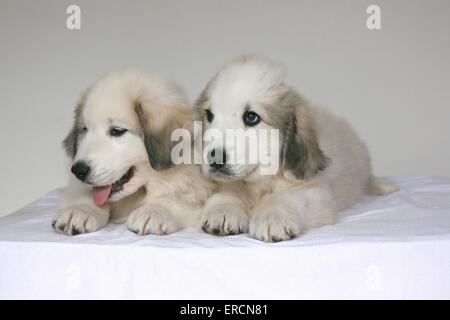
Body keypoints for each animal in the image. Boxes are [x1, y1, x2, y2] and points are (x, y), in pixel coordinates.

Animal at [54, 70, 213, 235]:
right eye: (85, 130)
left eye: (117, 131)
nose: (78, 170)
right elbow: (84, 193)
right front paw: (81, 210)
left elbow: (173, 198)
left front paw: (153, 210)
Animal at [195, 55, 396, 241]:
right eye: (210, 116)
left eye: (251, 117)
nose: (215, 158)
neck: (257, 186)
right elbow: (226, 190)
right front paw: (223, 211)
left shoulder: (315, 192)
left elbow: (288, 196)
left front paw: (273, 216)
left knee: (367, 179)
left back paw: (383, 187)